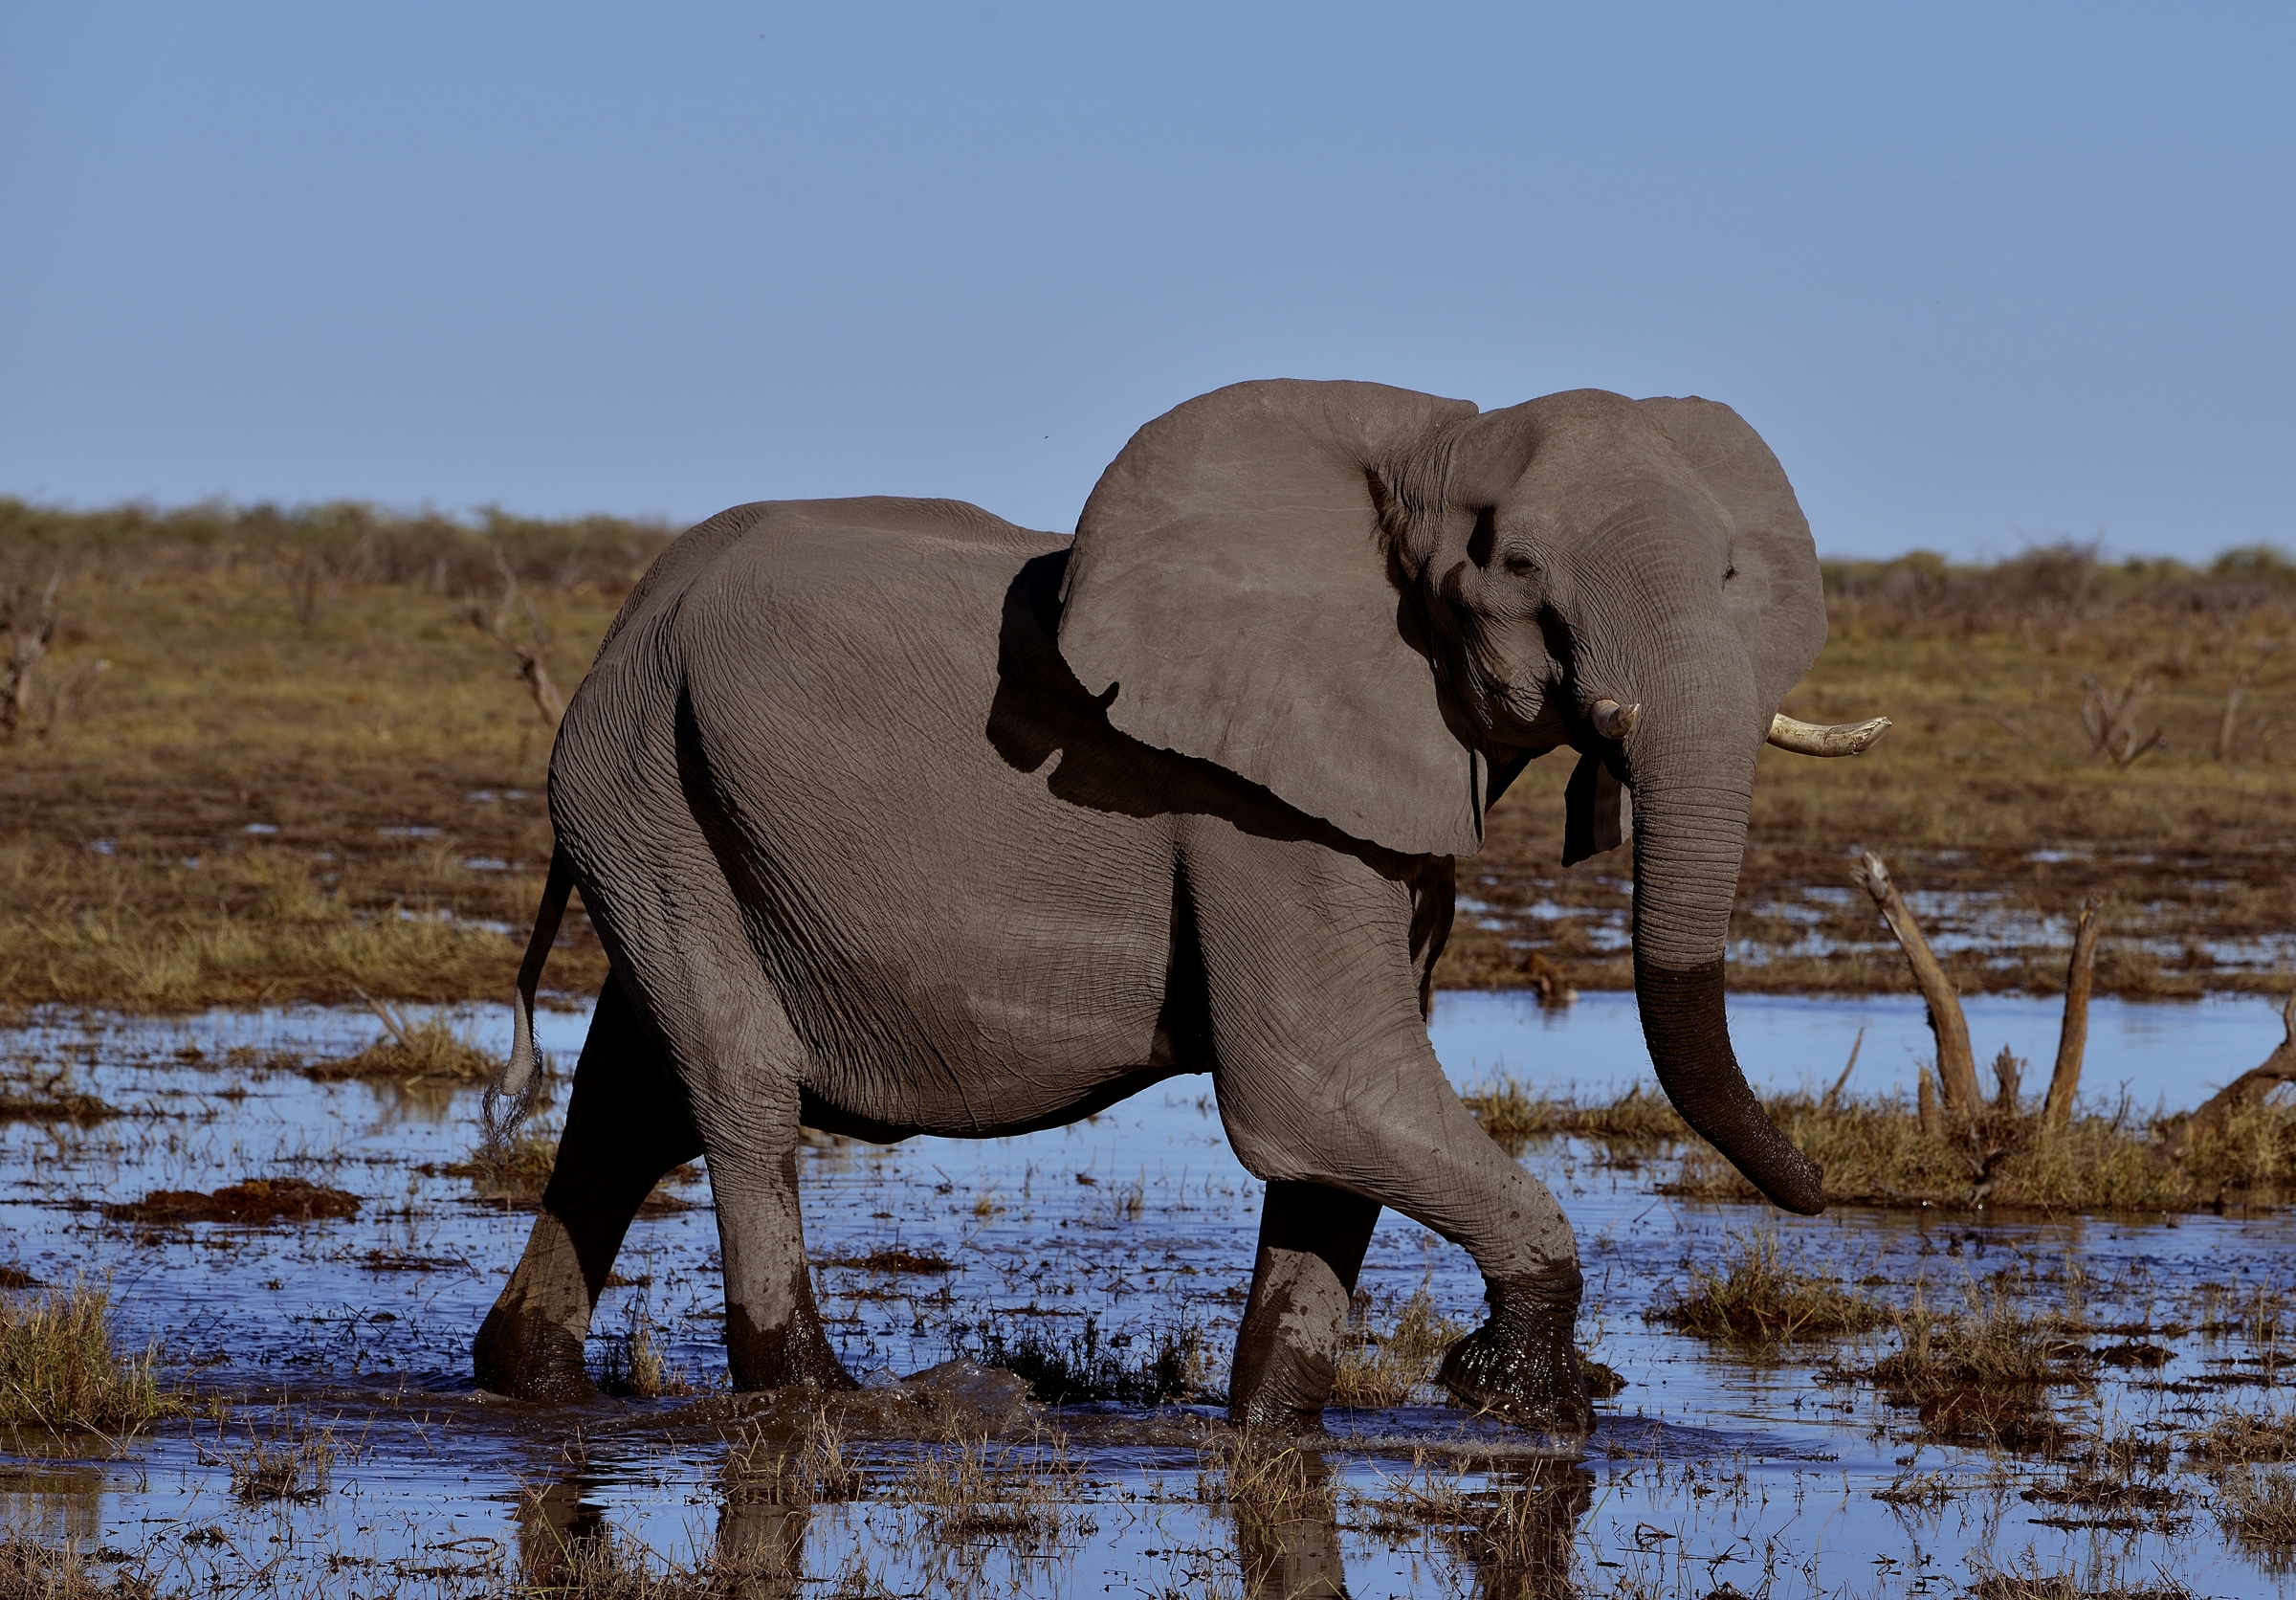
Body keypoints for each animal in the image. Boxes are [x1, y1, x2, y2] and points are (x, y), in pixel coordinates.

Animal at [471, 378, 1886, 1437]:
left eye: (1730, 571)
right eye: (1522, 567)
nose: (1825, 1184)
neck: (1423, 440)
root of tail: (632, 613)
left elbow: (1342, 1131)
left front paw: (1275, 1424)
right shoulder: (1258, 812)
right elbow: (1317, 1086)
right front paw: (1529, 1399)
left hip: (658, 787)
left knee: (630, 1093)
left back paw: (521, 1376)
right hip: (637, 773)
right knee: (739, 1080)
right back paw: (831, 1396)